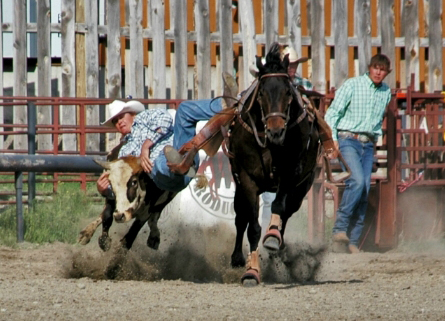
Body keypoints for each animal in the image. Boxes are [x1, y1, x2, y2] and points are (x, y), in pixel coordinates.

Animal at [229, 43, 320, 284]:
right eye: (261, 92)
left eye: (288, 91)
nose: (276, 131)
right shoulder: (247, 179)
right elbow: (252, 227)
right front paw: (251, 271)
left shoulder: (290, 173)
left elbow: (279, 207)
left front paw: (271, 238)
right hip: (240, 187)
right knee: (240, 217)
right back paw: (237, 258)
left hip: (301, 189)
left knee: (286, 213)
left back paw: (277, 242)